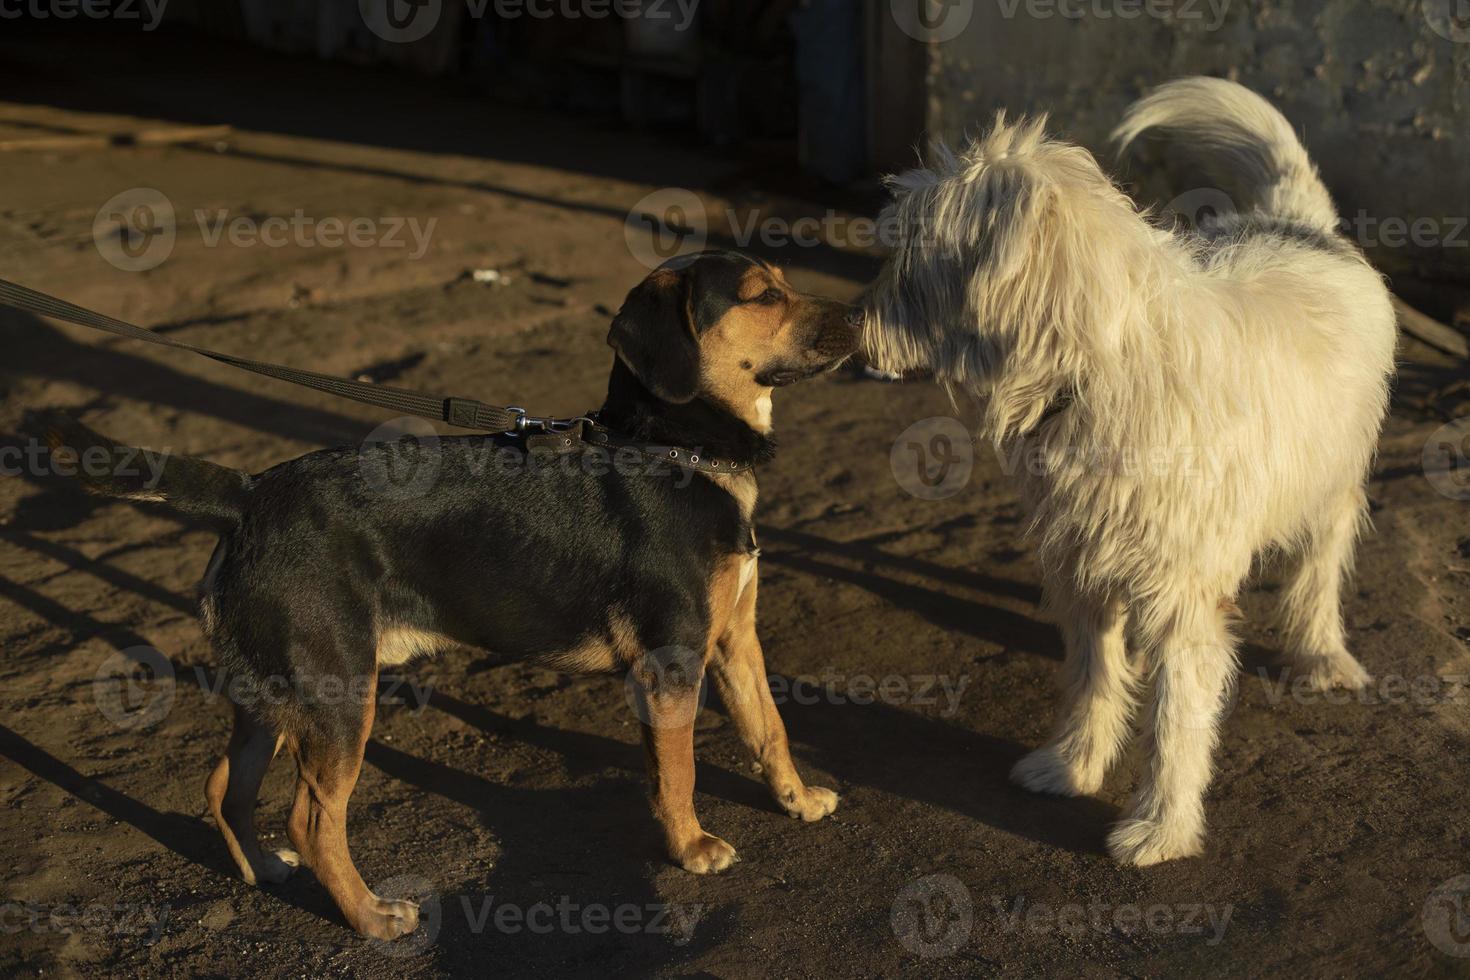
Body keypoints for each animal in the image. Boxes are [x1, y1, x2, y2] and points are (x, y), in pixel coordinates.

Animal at [42, 249, 852, 940]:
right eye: (761, 294)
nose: (857, 316)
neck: (673, 449)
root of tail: (246, 495)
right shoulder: (672, 661)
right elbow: (677, 772)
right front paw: (690, 847)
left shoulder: (735, 639)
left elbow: (770, 727)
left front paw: (797, 800)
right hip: (339, 693)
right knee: (313, 819)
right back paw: (371, 918)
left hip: (275, 690)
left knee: (224, 788)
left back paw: (264, 868)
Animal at [858, 78, 1399, 863]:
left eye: (912, 250)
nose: (849, 324)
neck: (1096, 368)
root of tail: (1299, 222)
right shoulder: (1083, 564)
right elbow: (1093, 677)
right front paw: (1071, 766)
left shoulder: (1182, 595)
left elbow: (1175, 721)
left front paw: (1161, 828)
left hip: (1330, 485)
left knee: (1318, 570)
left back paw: (1321, 655)